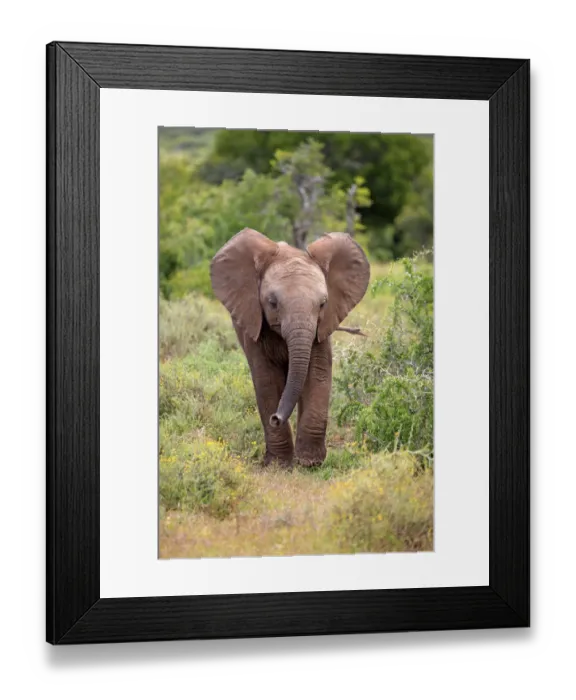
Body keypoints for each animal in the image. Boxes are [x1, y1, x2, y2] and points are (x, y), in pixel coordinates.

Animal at [210, 228, 370, 467]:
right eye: (272, 303)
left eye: (323, 304)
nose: (275, 418)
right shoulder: (254, 325)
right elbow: (266, 380)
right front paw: (279, 465)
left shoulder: (321, 328)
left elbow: (318, 373)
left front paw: (310, 463)